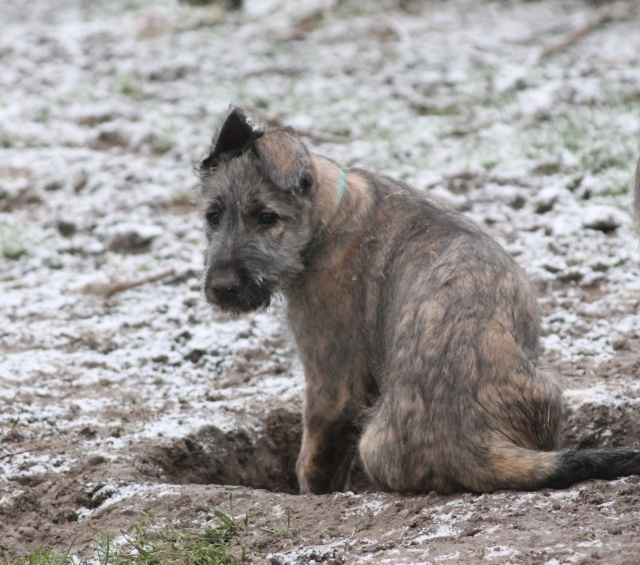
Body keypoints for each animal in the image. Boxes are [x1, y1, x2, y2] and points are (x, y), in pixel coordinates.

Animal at [198, 107, 640, 494]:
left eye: (267, 218)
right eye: (212, 216)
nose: (222, 287)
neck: (331, 215)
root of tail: (474, 444)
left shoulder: (331, 381)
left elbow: (315, 459)